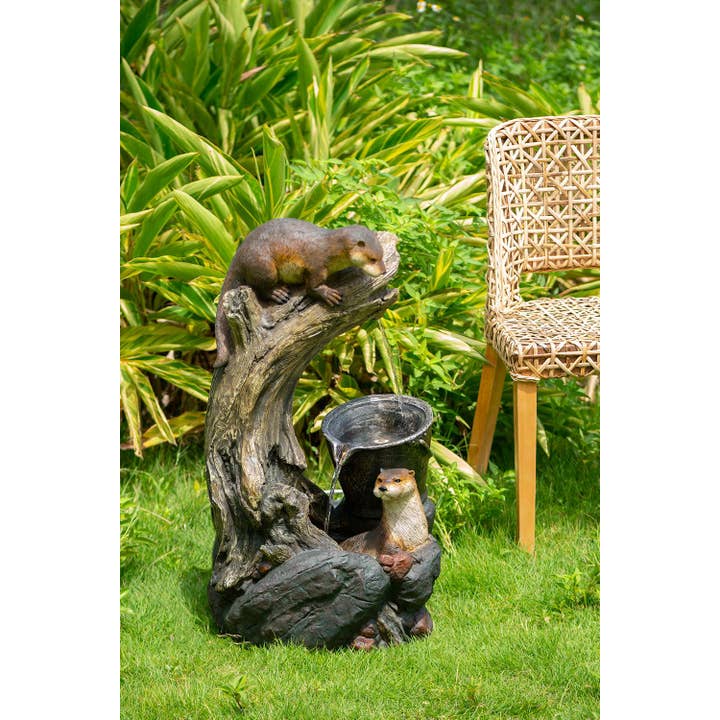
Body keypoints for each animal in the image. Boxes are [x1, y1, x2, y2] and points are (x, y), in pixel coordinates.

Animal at [214, 218, 386, 368]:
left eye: (382, 256)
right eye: (372, 259)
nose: (383, 271)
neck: (330, 250)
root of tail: (239, 252)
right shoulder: (317, 266)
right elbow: (312, 288)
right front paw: (329, 295)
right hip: (263, 265)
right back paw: (278, 292)